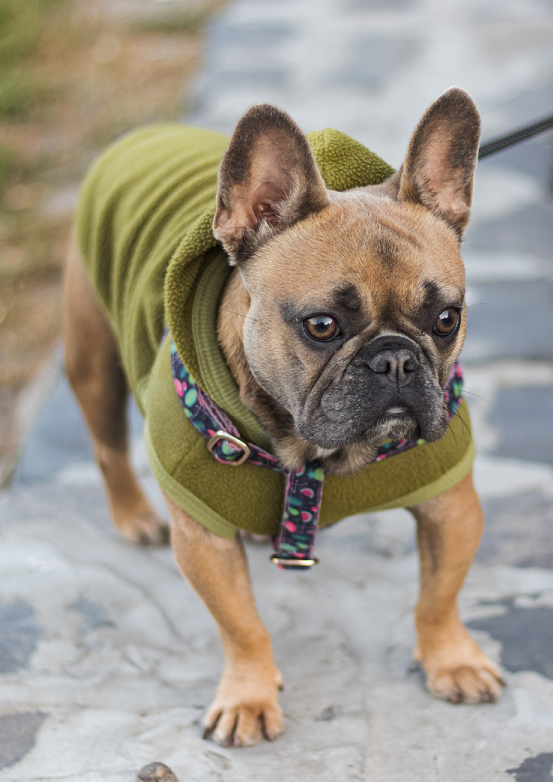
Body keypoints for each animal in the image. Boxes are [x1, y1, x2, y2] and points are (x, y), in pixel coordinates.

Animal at [63, 86, 504, 748]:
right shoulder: (202, 537)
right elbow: (241, 624)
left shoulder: (450, 503)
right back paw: (134, 516)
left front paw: (452, 659)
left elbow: (439, 595)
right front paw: (248, 695)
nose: (396, 359)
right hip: (93, 360)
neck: (315, 457)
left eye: (447, 319)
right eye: (321, 325)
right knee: (106, 446)